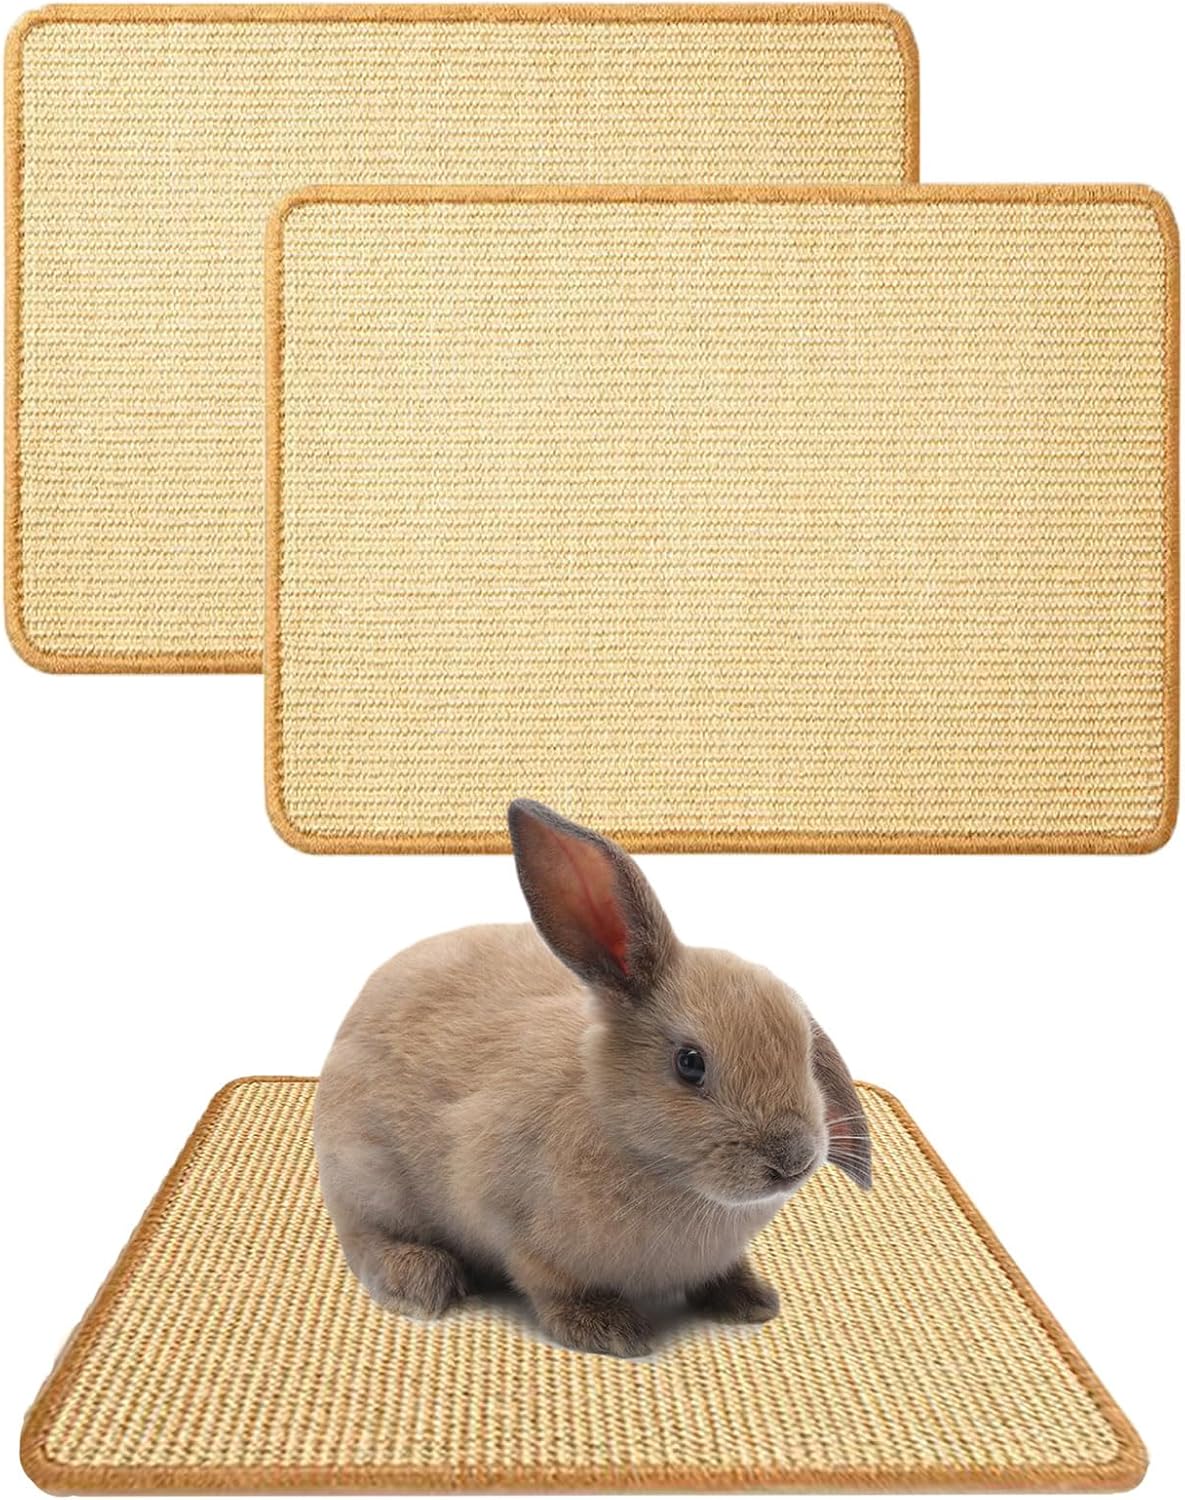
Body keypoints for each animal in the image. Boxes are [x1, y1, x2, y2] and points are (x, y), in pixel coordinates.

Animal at [314, 799, 871, 1358]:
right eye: (690, 1063)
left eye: (805, 1051)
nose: (793, 1161)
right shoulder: (514, 1228)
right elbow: (550, 1283)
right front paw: (610, 1329)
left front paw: (752, 1301)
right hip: (366, 1179)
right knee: (365, 1239)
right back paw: (418, 1282)